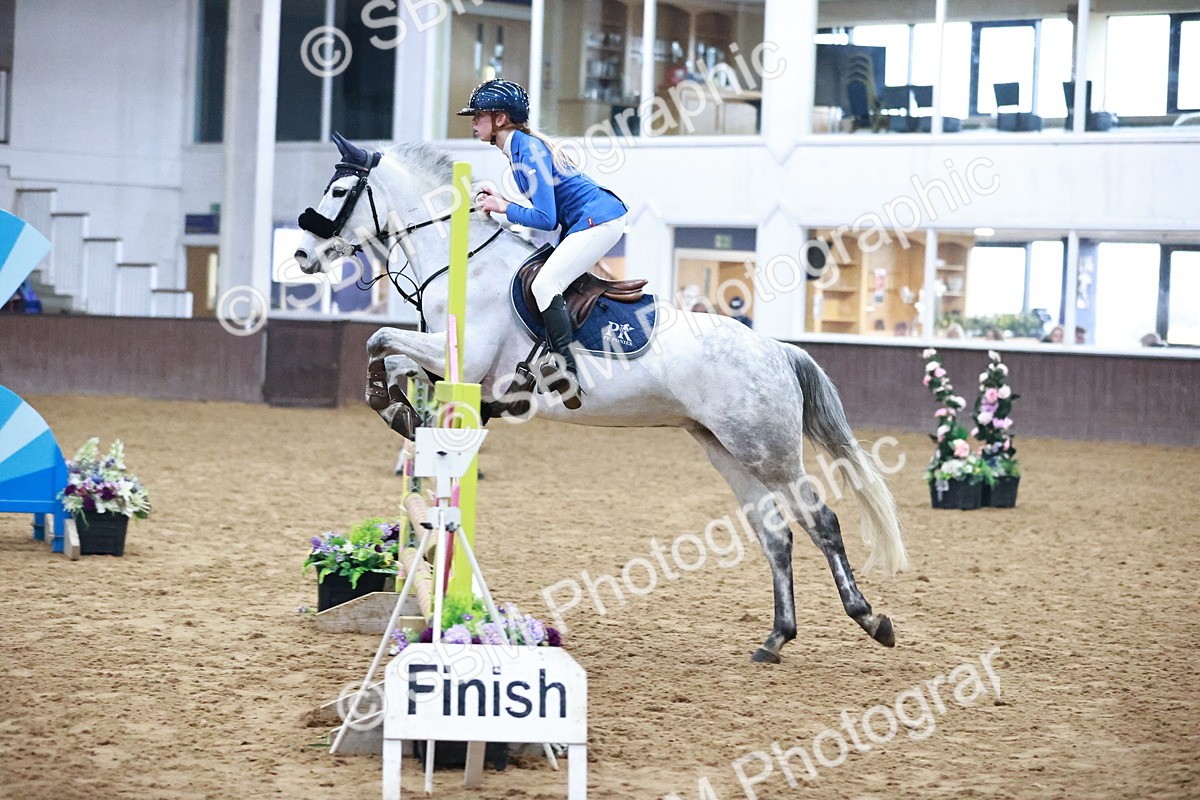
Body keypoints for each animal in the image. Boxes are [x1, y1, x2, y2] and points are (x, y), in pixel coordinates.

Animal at [293, 136, 908, 663]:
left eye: (339, 192)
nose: (300, 253)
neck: (464, 259)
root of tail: (776, 349)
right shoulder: (447, 365)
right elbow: (387, 354)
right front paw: (401, 409)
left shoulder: (465, 366)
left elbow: (378, 339)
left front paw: (397, 407)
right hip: (726, 450)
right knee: (776, 536)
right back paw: (775, 639)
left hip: (769, 451)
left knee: (821, 521)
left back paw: (871, 619)